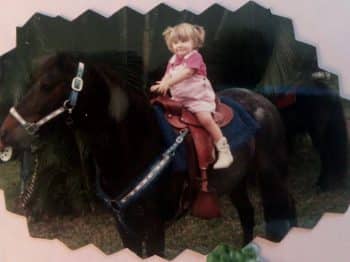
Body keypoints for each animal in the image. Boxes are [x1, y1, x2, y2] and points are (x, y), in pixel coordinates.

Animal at [0, 53, 296, 258]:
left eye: (47, 85)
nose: (5, 135)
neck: (135, 147)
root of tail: (262, 101)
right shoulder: (125, 228)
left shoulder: (154, 229)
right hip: (236, 182)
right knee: (247, 215)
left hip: (272, 178)